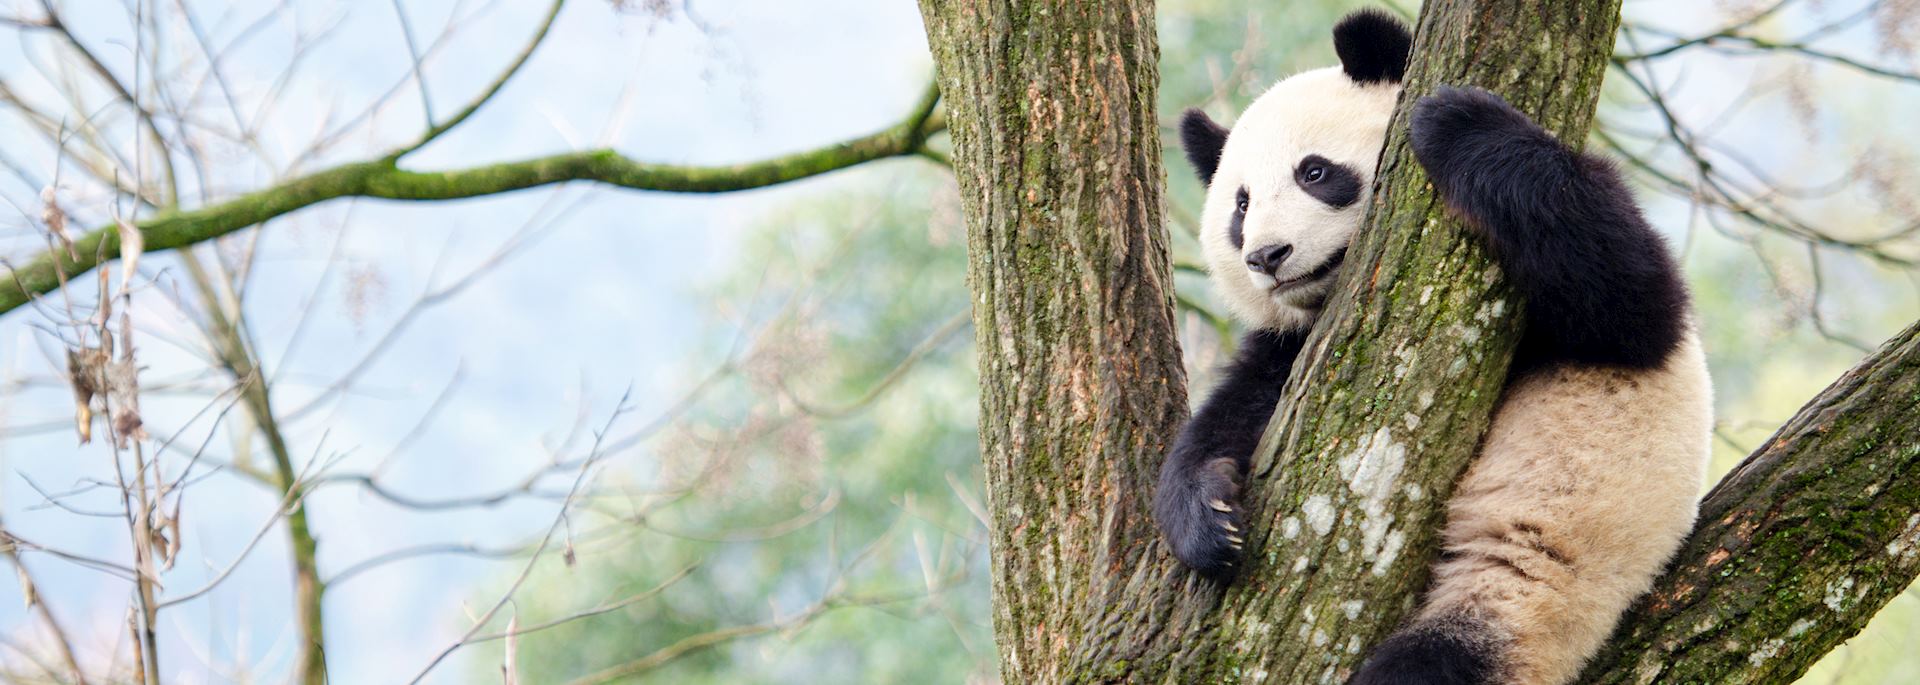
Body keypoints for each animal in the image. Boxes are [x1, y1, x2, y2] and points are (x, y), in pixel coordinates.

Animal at [1144, 6, 1720, 683]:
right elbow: (1236, 411)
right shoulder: (1291, 345)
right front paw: (1208, 519)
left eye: (1314, 172)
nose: (1267, 256)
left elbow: (1629, 301)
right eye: (1241, 205)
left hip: (1532, 589)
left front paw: (1458, 122)